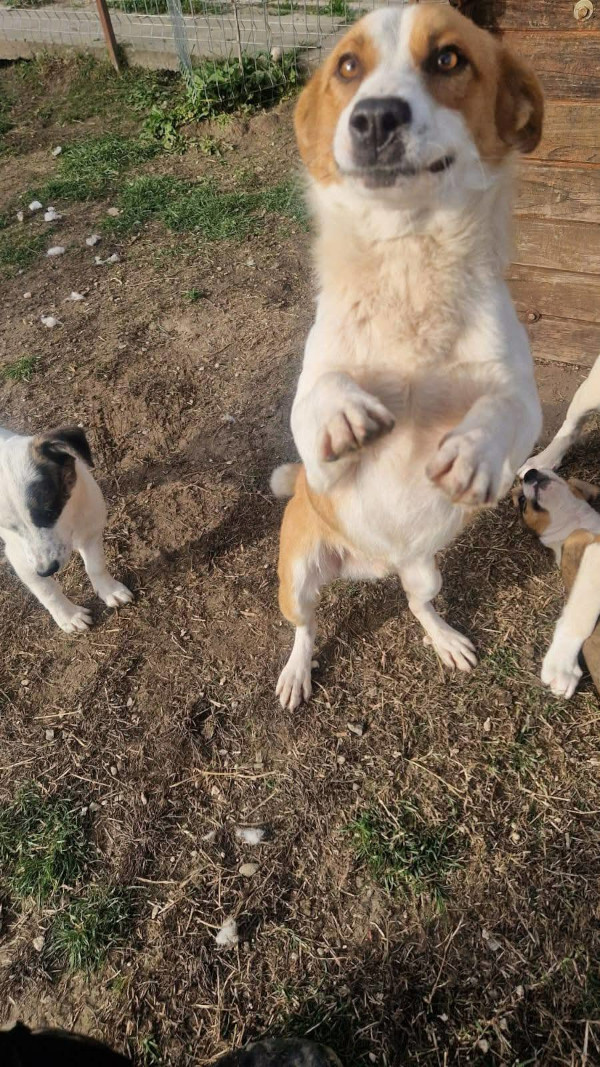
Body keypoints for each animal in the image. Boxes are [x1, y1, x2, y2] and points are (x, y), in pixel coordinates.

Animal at [0, 425, 132, 633]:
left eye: (50, 512)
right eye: (10, 527)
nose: (46, 570)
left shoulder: (90, 531)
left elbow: (95, 566)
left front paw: (109, 590)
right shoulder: (21, 560)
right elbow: (48, 592)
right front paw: (69, 616)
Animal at [270, 2, 543, 709]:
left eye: (448, 58)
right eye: (347, 65)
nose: (373, 117)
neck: (408, 254)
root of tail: (376, 562)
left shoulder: (522, 403)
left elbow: (506, 410)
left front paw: (473, 450)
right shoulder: (321, 461)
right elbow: (319, 396)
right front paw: (343, 412)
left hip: (426, 573)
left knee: (419, 605)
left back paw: (445, 639)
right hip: (298, 575)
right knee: (305, 627)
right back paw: (296, 670)